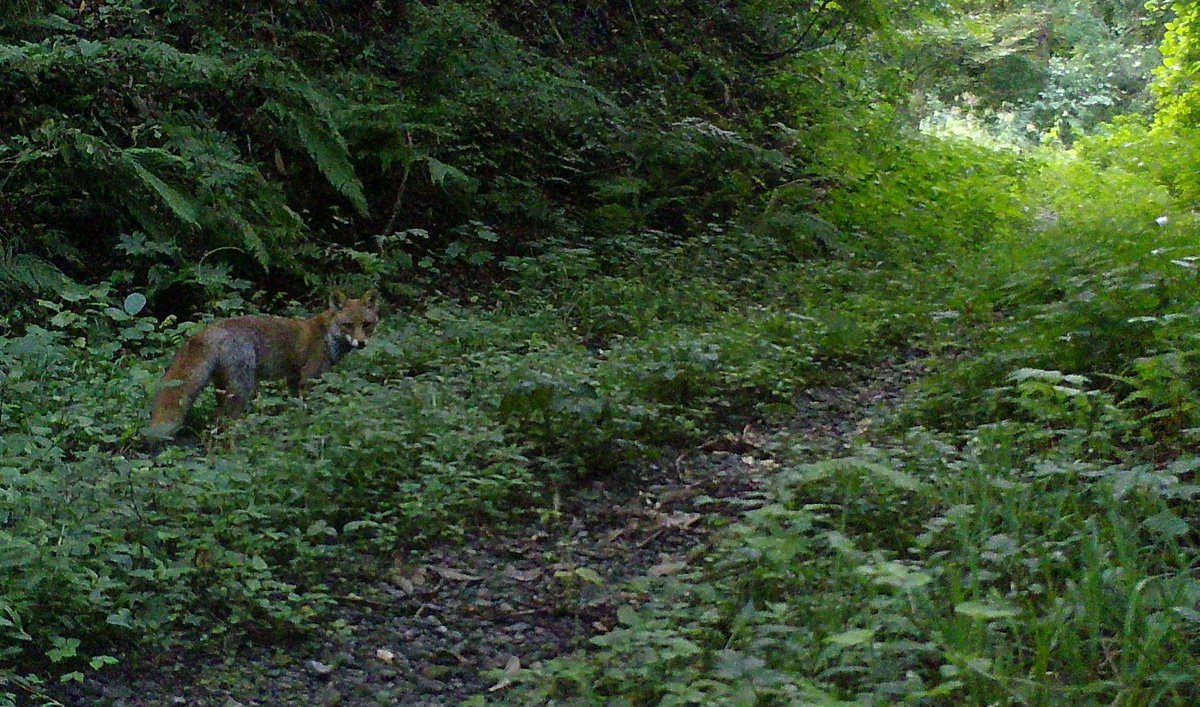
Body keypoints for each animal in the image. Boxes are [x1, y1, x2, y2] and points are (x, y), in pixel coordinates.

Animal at [146, 286, 379, 434]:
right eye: (348, 325)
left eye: (366, 324)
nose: (361, 343)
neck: (326, 335)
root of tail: (211, 329)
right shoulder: (308, 379)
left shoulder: (293, 380)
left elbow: (295, 408)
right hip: (243, 389)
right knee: (226, 423)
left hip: (223, 388)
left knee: (217, 421)